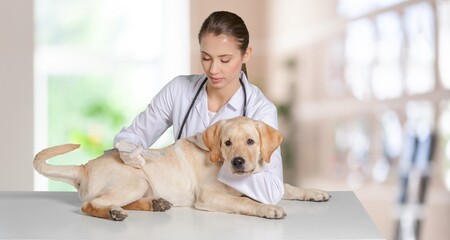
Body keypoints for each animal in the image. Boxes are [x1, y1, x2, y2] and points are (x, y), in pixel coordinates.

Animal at [34, 116, 330, 221]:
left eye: (250, 141)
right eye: (227, 143)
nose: (237, 162)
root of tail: (85, 167)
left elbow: (287, 186)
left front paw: (314, 192)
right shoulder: (209, 197)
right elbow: (245, 202)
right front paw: (267, 209)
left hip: (140, 185)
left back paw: (154, 204)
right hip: (134, 180)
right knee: (90, 205)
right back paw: (114, 213)